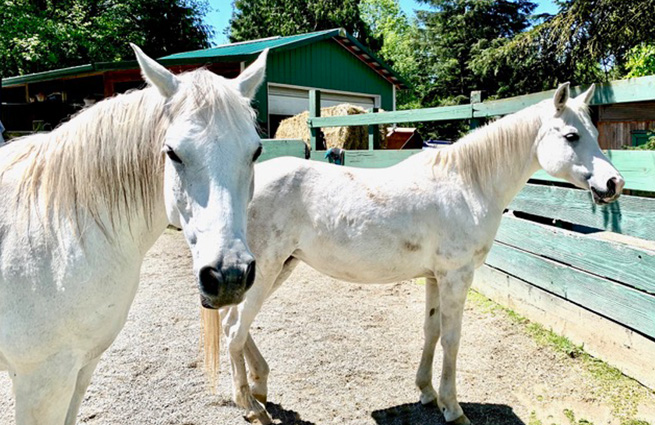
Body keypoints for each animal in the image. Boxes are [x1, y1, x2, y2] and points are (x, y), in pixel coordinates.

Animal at [0, 46, 268, 424]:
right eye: (172, 152)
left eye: (256, 151)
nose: (229, 276)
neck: (59, 240)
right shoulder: (40, 383)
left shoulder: (81, 368)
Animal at [209, 83, 624, 424]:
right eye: (571, 135)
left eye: (593, 133)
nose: (614, 183)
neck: (466, 185)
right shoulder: (456, 277)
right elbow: (452, 339)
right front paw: (453, 408)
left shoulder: (434, 278)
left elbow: (431, 331)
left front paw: (427, 392)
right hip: (266, 271)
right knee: (234, 330)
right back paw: (249, 406)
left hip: (279, 268)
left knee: (234, 325)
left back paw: (260, 387)